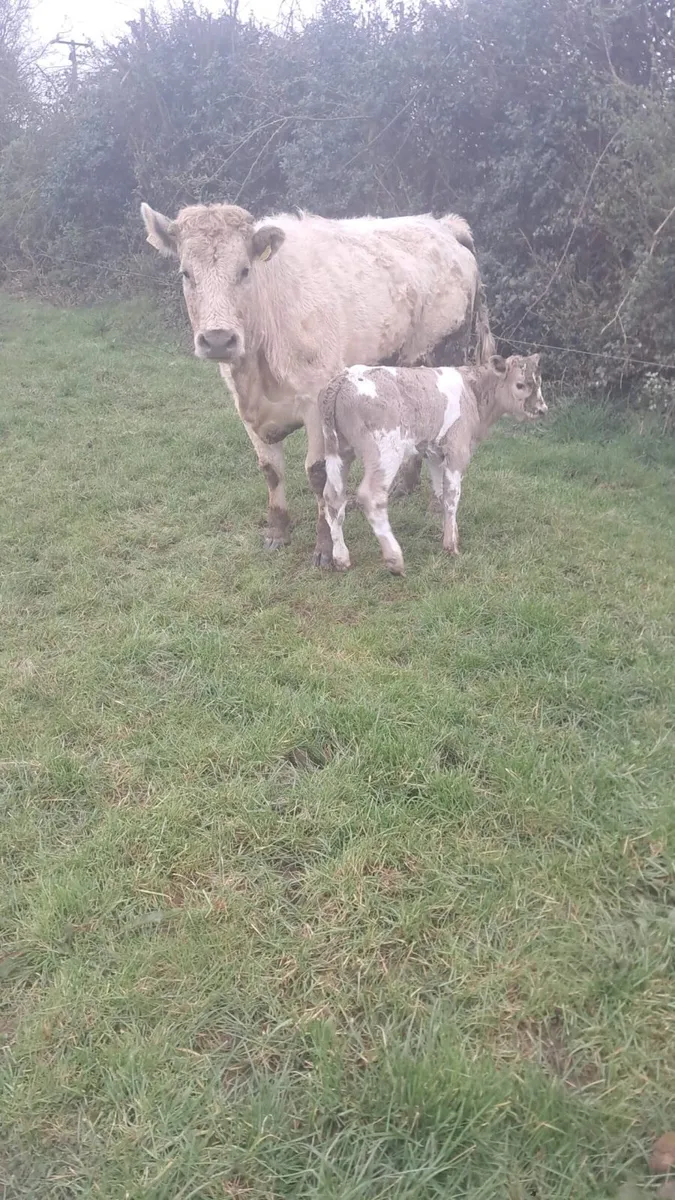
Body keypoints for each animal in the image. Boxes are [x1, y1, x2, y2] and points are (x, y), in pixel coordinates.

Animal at [140, 202, 495, 565]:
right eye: (186, 273)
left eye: (244, 271)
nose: (218, 339)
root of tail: (442, 225)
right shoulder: (246, 407)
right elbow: (271, 469)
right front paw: (277, 532)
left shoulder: (317, 403)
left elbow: (319, 474)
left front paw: (326, 548)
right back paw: (404, 486)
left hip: (444, 351)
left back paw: (435, 504)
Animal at [320, 355, 547, 575]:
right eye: (520, 384)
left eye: (539, 382)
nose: (542, 409)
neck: (473, 392)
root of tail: (344, 377)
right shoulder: (457, 450)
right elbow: (452, 496)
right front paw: (451, 546)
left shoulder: (434, 454)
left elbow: (441, 492)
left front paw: (452, 533)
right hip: (384, 453)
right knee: (371, 496)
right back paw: (395, 560)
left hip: (339, 451)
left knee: (333, 498)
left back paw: (341, 558)